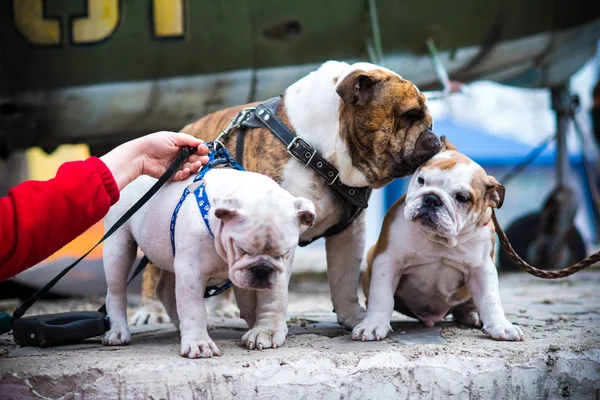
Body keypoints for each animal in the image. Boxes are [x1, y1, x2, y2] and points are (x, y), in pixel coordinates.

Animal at [102, 167, 318, 358]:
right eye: (242, 249)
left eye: (285, 252)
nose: (262, 269)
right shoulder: (191, 272)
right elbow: (194, 308)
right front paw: (198, 343)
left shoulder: (274, 273)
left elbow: (270, 299)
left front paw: (265, 330)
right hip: (118, 248)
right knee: (116, 291)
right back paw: (118, 331)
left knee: (164, 289)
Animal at [137, 58, 446, 328]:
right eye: (410, 115)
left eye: (427, 118)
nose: (434, 134)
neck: (321, 152)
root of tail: (190, 129)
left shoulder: (348, 233)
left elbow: (344, 279)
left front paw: (354, 318)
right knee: (152, 267)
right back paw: (150, 310)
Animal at [354, 139, 524, 342]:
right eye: (421, 180)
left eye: (463, 198)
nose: (432, 198)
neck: (439, 240)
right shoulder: (388, 260)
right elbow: (381, 296)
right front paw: (373, 325)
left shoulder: (482, 268)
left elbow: (491, 299)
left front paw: (501, 326)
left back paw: (472, 315)